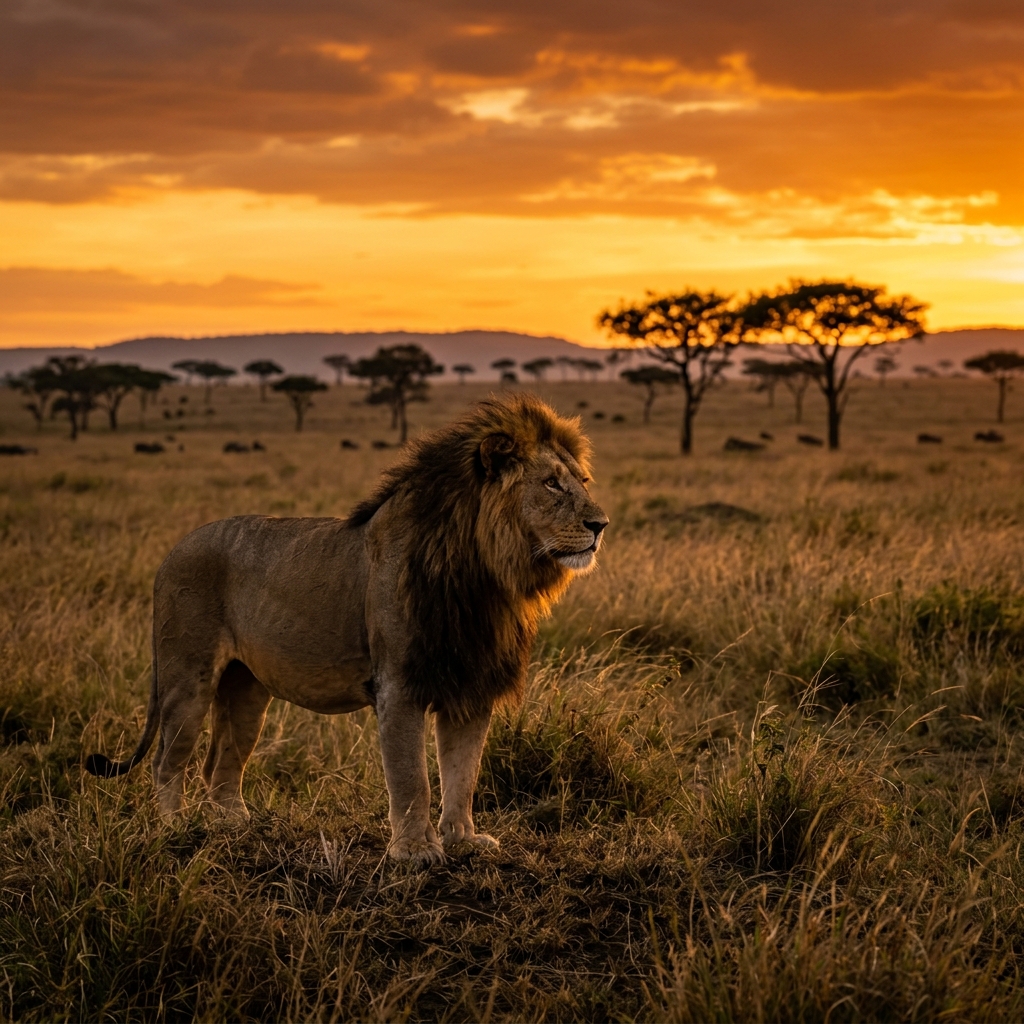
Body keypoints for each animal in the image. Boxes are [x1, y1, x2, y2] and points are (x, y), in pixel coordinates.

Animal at [85, 393, 609, 865]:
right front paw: (415, 852)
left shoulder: (471, 687)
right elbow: (412, 777)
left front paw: (462, 840)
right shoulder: (399, 685)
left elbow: (463, 773)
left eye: (583, 481)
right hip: (186, 677)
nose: (601, 523)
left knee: (222, 761)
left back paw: (236, 827)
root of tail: (172, 551)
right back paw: (177, 829)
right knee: (167, 761)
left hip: (246, 688)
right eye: (551, 484)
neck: (486, 574)